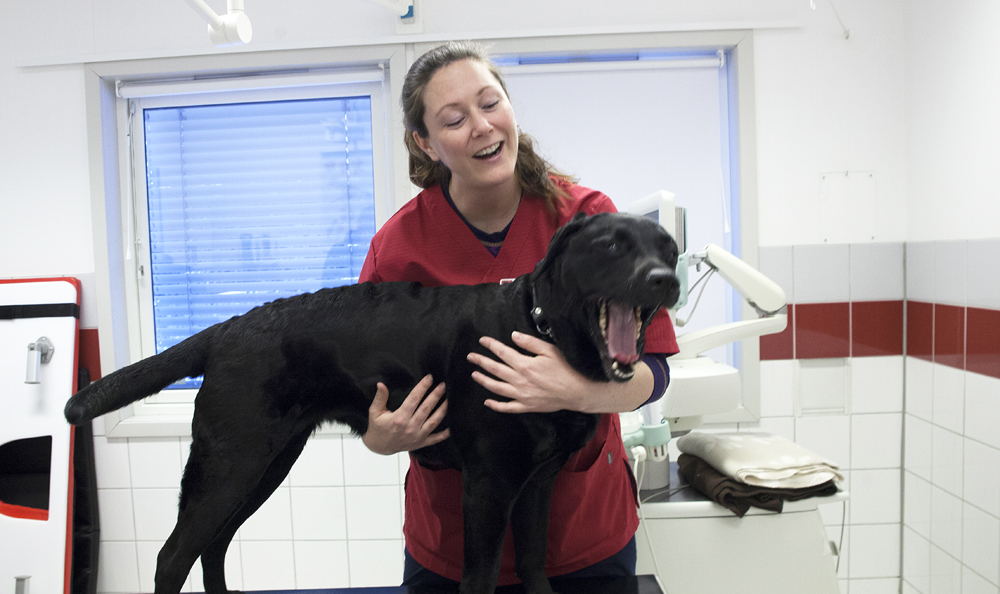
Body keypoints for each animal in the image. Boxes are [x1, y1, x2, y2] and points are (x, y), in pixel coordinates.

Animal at [64, 212, 680, 592]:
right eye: (611, 246)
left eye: (668, 249)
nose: (665, 279)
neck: (540, 330)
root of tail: (227, 327)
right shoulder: (487, 486)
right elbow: (481, 577)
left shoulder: (537, 484)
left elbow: (532, 566)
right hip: (229, 466)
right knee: (173, 557)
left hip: (264, 465)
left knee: (213, 547)